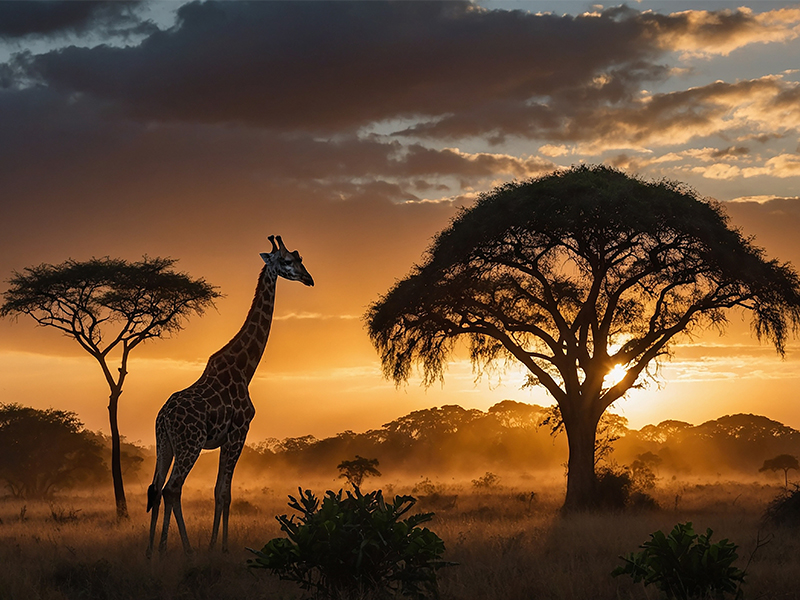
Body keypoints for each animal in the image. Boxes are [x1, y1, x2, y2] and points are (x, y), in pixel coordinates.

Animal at [146, 235, 313, 557]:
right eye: (287, 261)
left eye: (301, 258)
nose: (309, 279)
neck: (244, 369)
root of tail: (163, 417)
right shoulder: (239, 432)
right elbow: (225, 493)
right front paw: (218, 549)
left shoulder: (227, 438)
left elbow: (218, 491)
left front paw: (216, 546)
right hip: (190, 444)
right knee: (172, 488)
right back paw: (185, 551)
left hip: (165, 444)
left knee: (156, 488)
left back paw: (152, 554)